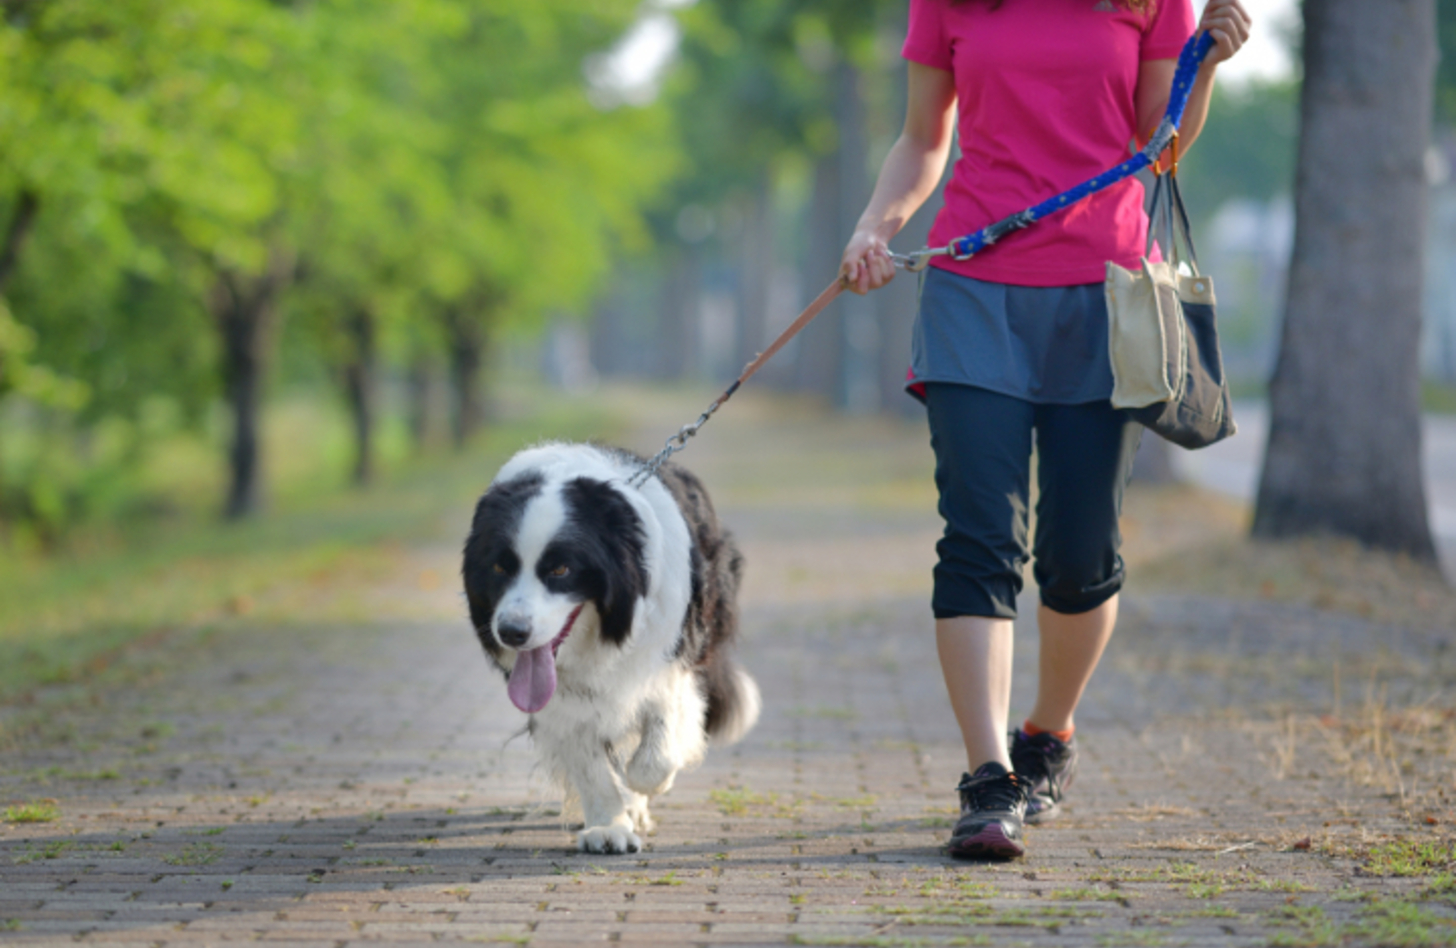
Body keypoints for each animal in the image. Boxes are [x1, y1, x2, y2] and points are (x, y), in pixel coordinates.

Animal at [463, 442, 762, 850]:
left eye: (560, 570)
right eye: (498, 568)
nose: (511, 632)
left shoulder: (671, 650)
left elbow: (658, 739)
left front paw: (642, 789)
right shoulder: (561, 698)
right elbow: (588, 759)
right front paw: (609, 828)